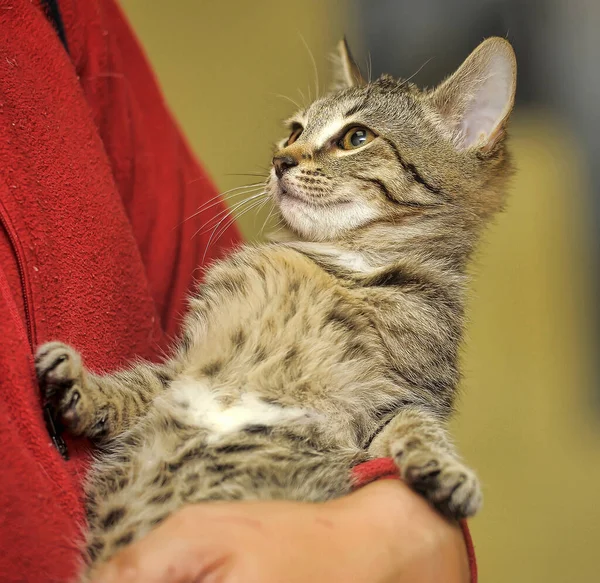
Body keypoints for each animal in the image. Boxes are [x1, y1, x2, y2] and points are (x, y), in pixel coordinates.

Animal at [36, 37, 516, 580]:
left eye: (356, 137)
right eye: (295, 130)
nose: (280, 159)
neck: (337, 265)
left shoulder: (393, 402)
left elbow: (415, 424)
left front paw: (445, 469)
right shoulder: (185, 370)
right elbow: (138, 384)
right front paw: (81, 387)